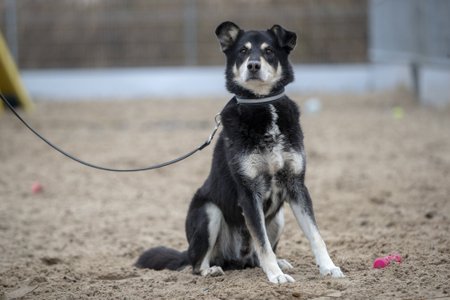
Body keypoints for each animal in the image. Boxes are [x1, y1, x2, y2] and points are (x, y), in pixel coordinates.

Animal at [135, 21, 342, 284]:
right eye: (243, 51)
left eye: (268, 51)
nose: (253, 65)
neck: (263, 105)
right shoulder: (249, 192)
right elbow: (262, 243)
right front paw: (276, 276)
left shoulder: (297, 186)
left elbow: (315, 235)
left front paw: (328, 268)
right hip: (209, 212)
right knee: (197, 264)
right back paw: (211, 270)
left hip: (279, 217)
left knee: (254, 257)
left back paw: (277, 262)